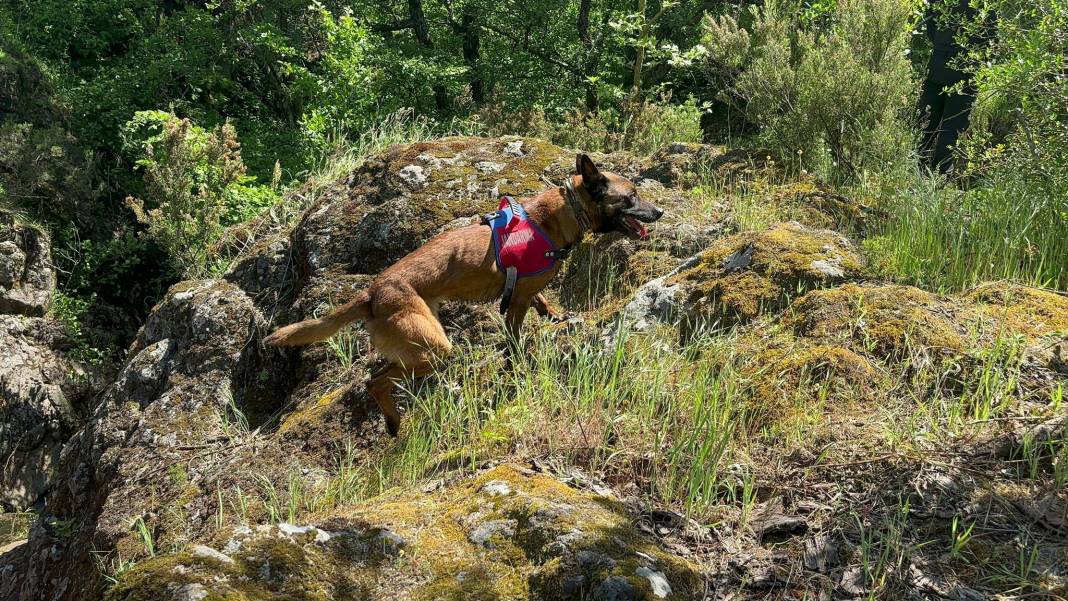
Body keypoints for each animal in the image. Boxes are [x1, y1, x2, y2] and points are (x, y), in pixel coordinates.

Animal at [263, 153, 662, 437]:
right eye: (631, 197)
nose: (659, 210)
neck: (560, 216)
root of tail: (372, 293)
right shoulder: (515, 302)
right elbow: (514, 340)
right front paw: (517, 367)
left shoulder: (526, 289)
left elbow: (542, 300)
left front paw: (553, 315)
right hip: (432, 348)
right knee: (374, 381)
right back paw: (394, 422)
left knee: (376, 378)